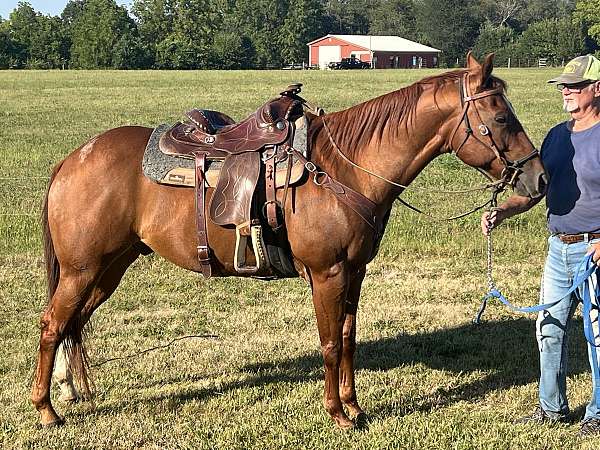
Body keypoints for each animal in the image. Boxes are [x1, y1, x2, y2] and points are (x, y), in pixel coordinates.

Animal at [32, 54, 548, 428]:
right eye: (502, 117)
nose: (540, 179)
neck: (345, 168)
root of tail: (72, 160)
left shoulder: (354, 272)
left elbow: (349, 337)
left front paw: (355, 407)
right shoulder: (326, 273)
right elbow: (330, 342)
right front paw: (338, 413)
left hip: (108, 268)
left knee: (75, 324)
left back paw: (72, 391)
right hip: (82, 269)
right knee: (53, 325)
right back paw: (47, 409)